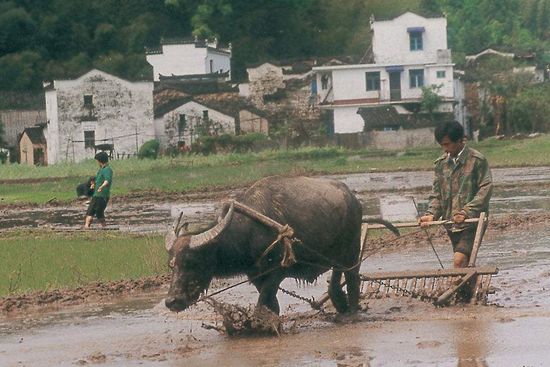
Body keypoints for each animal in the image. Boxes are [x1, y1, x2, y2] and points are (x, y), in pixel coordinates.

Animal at [166, 177, 398, 314]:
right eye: (172, 265)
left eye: (191, 262)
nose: (171, 301)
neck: (249, 231)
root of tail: (353, 199)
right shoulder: (255, 274)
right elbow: (270, 303)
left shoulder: (278, 270)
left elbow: (263, 301)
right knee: (336, 276)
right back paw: (340, 304)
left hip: (350, 250)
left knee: (352, 277)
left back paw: (352, 310)